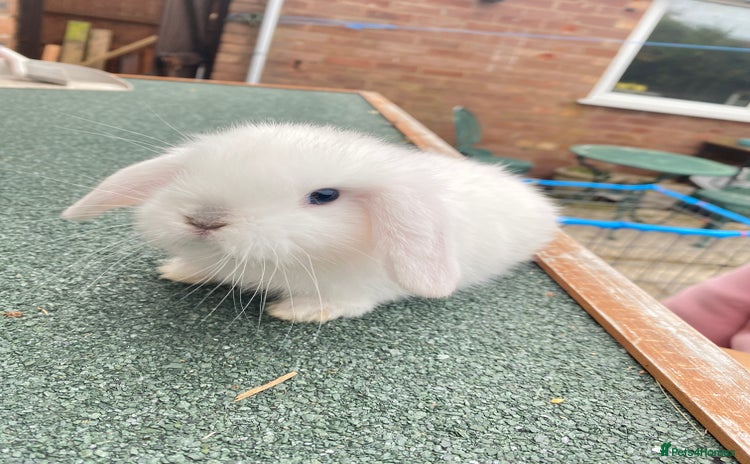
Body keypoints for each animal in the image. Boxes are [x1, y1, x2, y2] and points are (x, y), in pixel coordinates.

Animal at [62, 123, 558, 323]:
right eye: (189, 171)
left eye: (324, 197)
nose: (204, 219)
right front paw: (180, 269)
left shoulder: (358, 289)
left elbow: (345, 303)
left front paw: (297, 311)